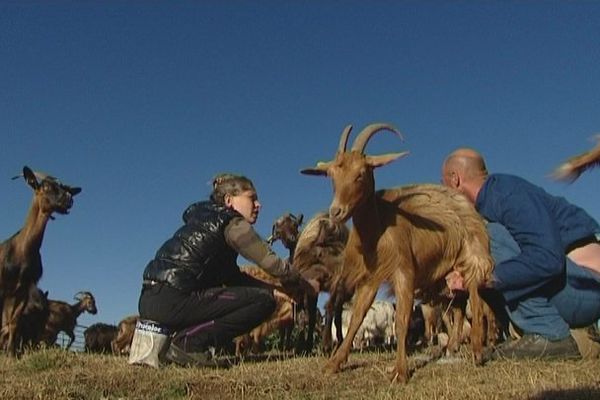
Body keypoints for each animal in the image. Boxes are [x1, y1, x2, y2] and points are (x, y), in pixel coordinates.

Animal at [0, 167, 80, 354]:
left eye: (64, 187)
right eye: (45, 187)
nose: (69, 199)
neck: (21, 251)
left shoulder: (24, 290)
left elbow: (14, 322)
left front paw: (11, 353)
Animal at [300, 122, 492, 384]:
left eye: (361, 173)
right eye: (332, 176)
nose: (336, 211)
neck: (379, 226)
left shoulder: (404, 271)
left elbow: (401, 320)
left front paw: (400, 371)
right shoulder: (370, 278)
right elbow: (357, 317)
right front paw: (334, 363)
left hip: (471, 255)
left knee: (475, 296)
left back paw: (477, 350)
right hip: (447, 273)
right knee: (460, 305)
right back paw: (452, 346)